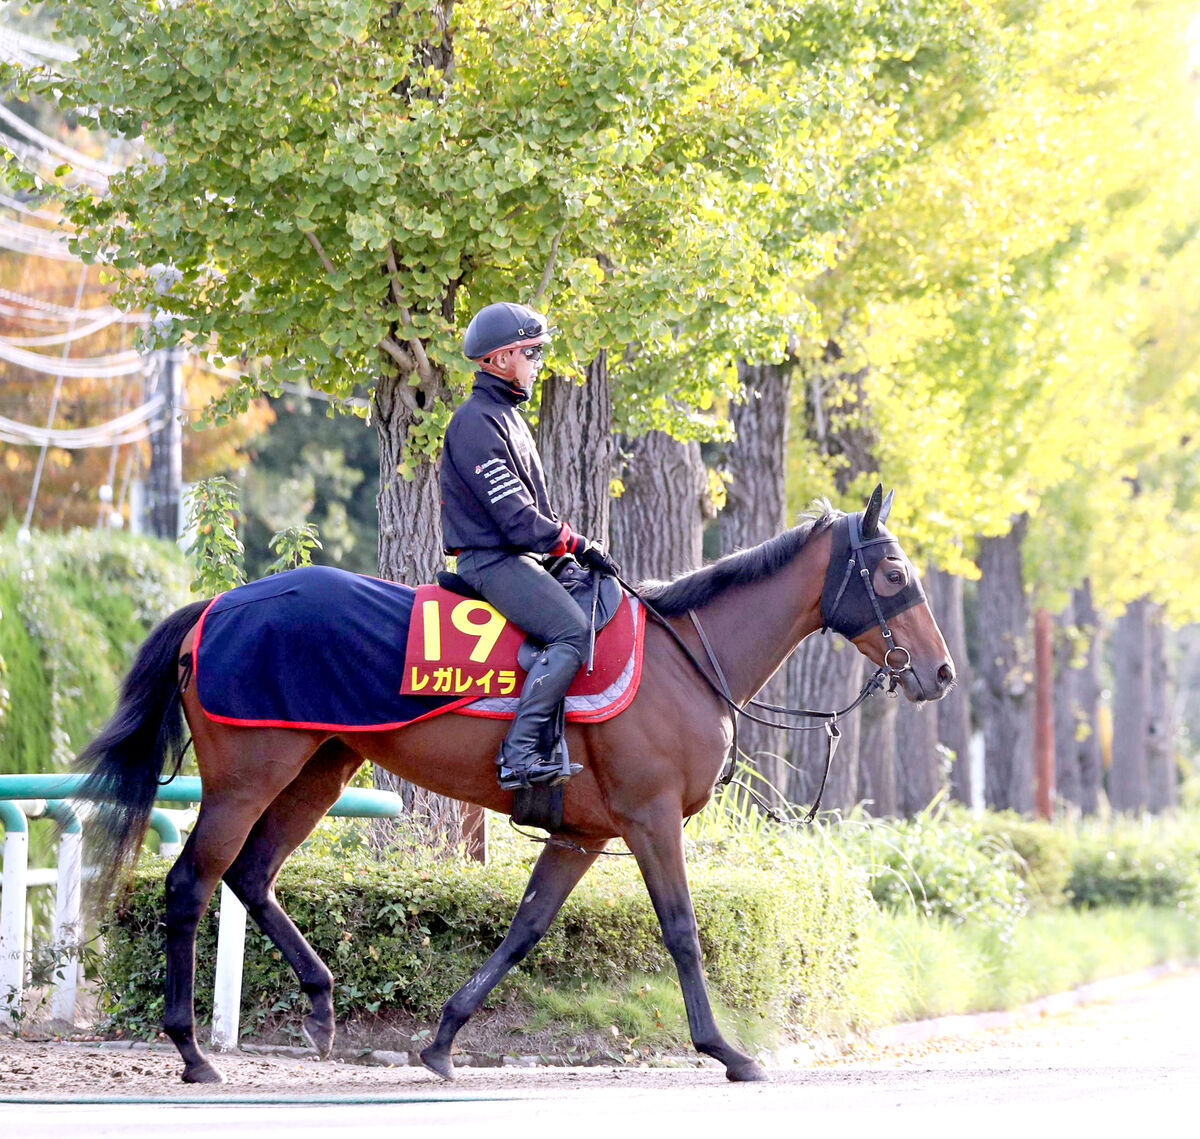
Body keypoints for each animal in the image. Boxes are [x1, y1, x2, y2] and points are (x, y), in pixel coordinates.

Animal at [77, 482, 955, 1084]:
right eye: (892, 571)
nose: (941, 671)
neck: (684, 657)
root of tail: (214, 608)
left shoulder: (581, 833)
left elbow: (526, 926)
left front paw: (441, 1039)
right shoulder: (650, 819)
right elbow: (681, 929)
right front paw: (724, 1048)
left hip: (319, 768)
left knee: (253, 875)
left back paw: (321, 1003)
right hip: (248, 776)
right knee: (192, 883)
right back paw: (192, 1048)